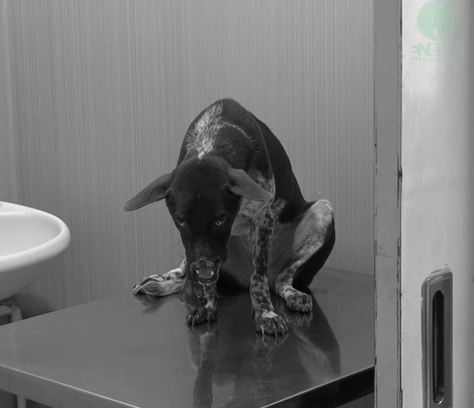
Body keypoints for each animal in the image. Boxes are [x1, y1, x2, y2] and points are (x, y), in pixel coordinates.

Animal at [124, 99, 335, 335]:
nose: (201, 267)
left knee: (280, 280)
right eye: (181, 221)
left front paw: (265, 313)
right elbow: (200, 275)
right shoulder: (198, 254)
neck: (213, 137)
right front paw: (205, 304)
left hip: (323, 210)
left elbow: (258, 275)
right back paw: (162, 281)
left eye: (220, 220)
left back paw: (294, 295)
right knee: (185, 268)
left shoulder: (264, 219)